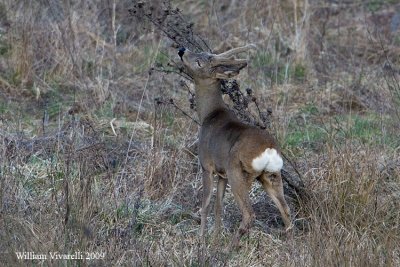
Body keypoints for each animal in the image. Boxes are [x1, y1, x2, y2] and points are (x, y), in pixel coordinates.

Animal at [179, 44, 290, 249]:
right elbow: (218, 207)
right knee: (285, 210)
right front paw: (214, 239)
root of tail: (270, 150)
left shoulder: (207, 165)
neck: (209, 115)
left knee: (249, 214)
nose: (182, 50)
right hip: (269, 175)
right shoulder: (221, 174)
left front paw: (201, 240)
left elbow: (206, 204)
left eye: (199, 62)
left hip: (237, 171)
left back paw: (228, 249)